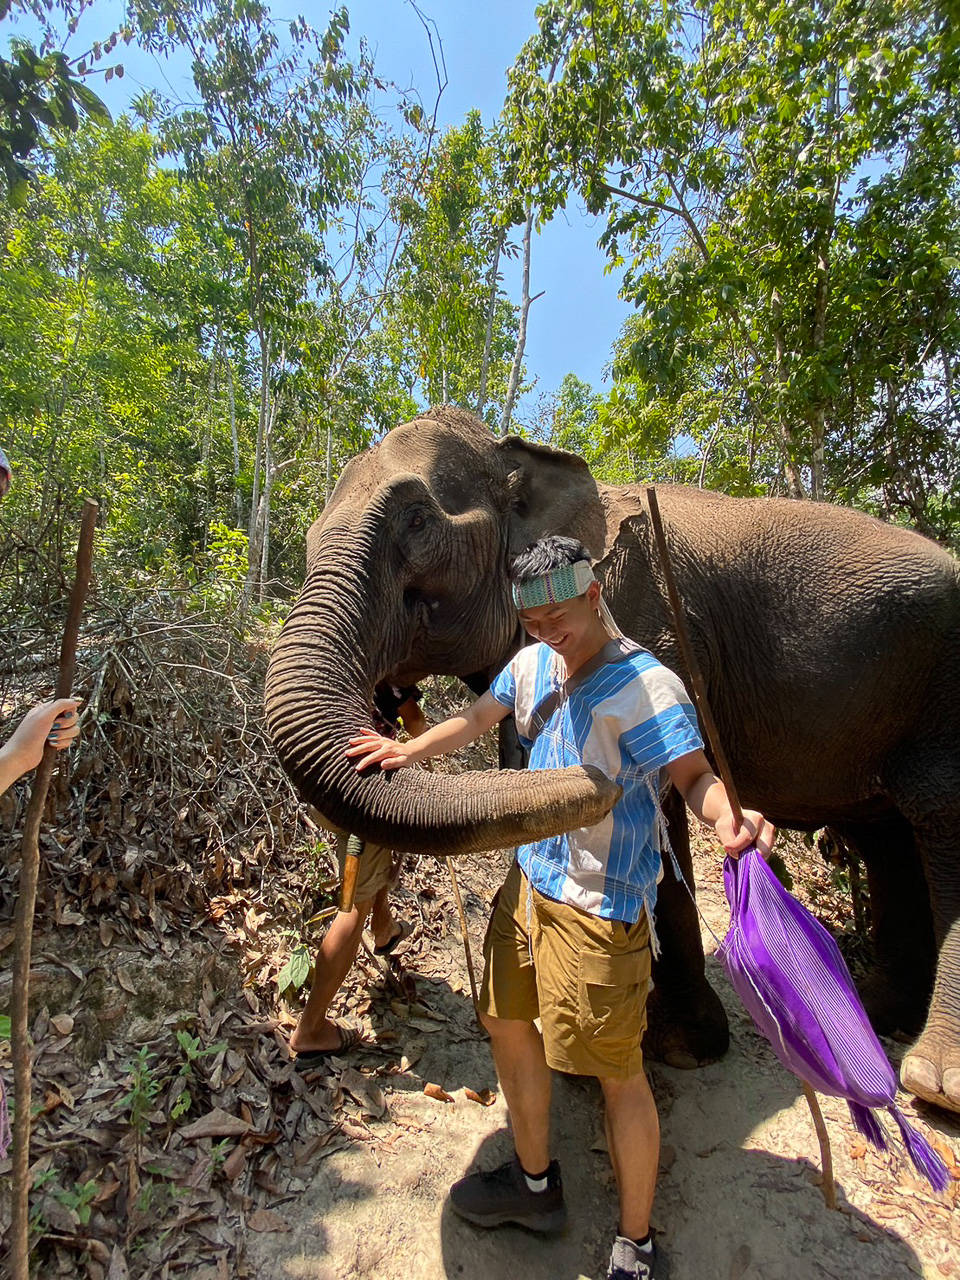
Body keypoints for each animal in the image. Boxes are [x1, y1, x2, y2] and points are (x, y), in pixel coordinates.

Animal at [265, 405, 960, 1114]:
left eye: (416, 520)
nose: (595, 779)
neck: (521, 456)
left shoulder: (655, 629)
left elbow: (668, 797)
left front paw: (680, 1047)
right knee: (887, 837)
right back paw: (878, 1016)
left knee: (938, 819)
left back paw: (932, 1082)